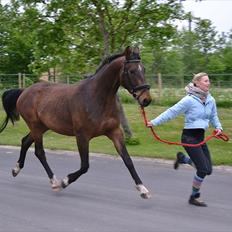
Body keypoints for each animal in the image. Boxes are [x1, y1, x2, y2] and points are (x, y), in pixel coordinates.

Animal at [0, 46, 152, 198]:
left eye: (144, 69)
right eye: (132, 71)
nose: (146, 100)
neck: (96, 98)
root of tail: (24, 91)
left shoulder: (115, 132)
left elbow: (128, 160)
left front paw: (143, 189)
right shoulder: (82, 136)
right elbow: (85, 166)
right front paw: (64, 182)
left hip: (42, 127)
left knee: (25, 141)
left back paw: (16, 169)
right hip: (36, 127)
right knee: (39, 152)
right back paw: (54, 182)